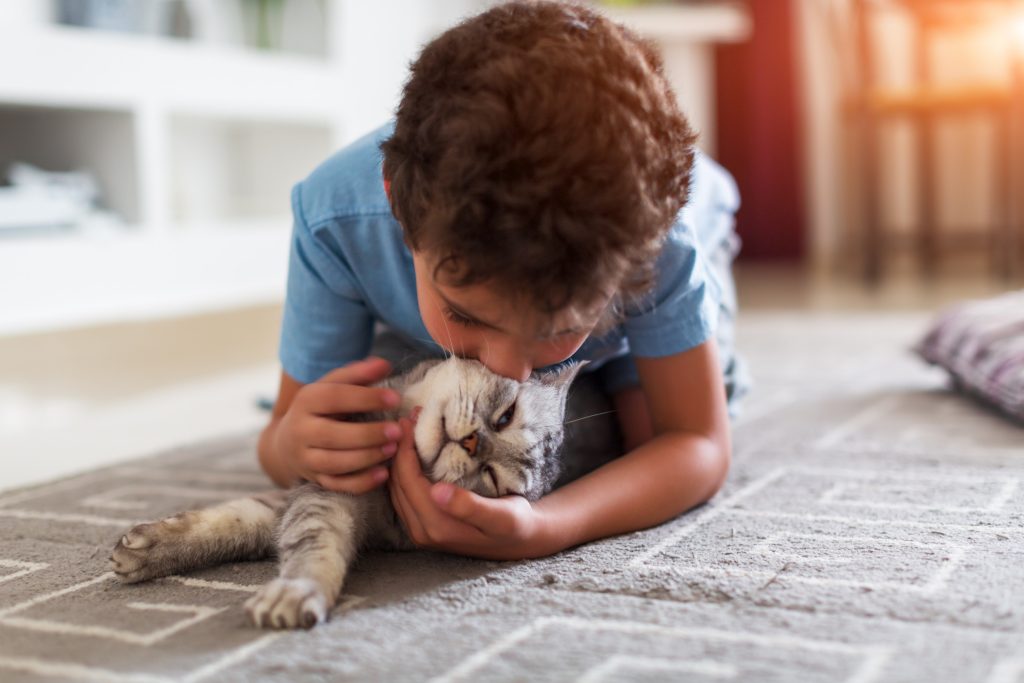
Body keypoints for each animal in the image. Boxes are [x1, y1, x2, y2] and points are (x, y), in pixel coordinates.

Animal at [110, 358, 585, 630]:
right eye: (506, 415)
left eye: (494, 482)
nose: (474, 445)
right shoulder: (319, 482)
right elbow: (238, 519)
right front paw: (151, 547)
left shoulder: (324, 501)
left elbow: (311, 544)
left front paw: (296, 592)